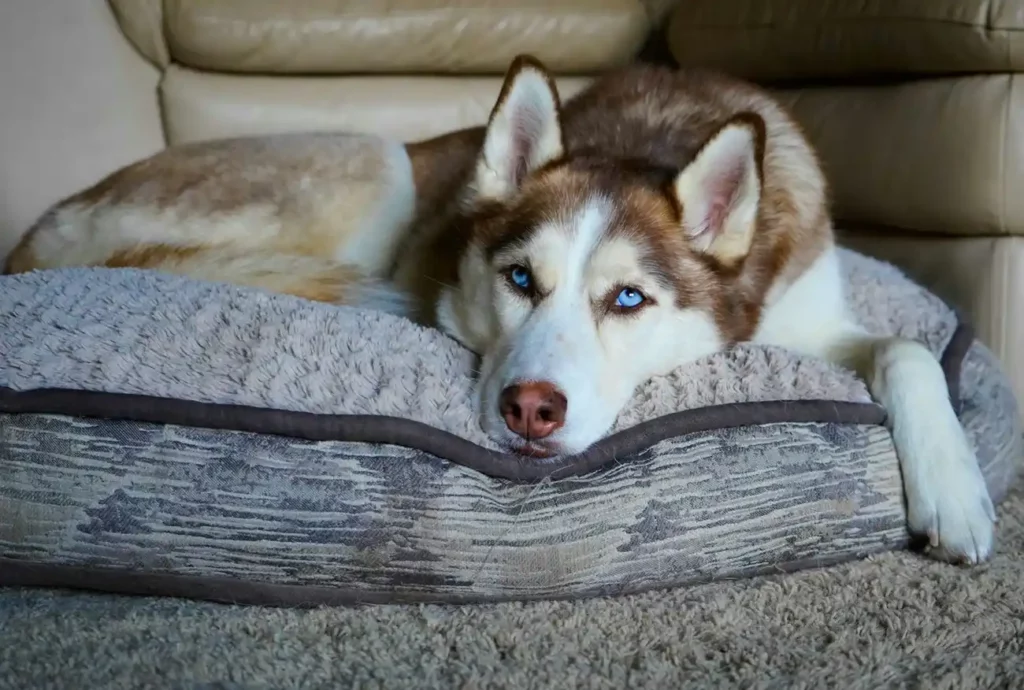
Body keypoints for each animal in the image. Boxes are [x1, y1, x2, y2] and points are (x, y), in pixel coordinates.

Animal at [0, 53, 991, 556]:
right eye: (520, 279)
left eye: (627, 298)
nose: (530, 410)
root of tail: (39, 232)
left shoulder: (807, 317)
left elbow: (906, 348)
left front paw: (954, 488)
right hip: (377, 161)